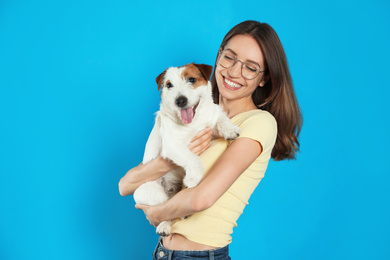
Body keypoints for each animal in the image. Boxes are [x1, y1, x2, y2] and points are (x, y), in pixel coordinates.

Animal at [133, 62, 239, 236]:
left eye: (192, 79)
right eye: (169, 85)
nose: (180, 101)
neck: (194, 122)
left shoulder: (212, 117)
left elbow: (221, 117)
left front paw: (230, 130)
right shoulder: (173, 146)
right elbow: (194, 159)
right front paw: (193, 178)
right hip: (147, 191)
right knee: (164, 210)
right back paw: (164, 226)